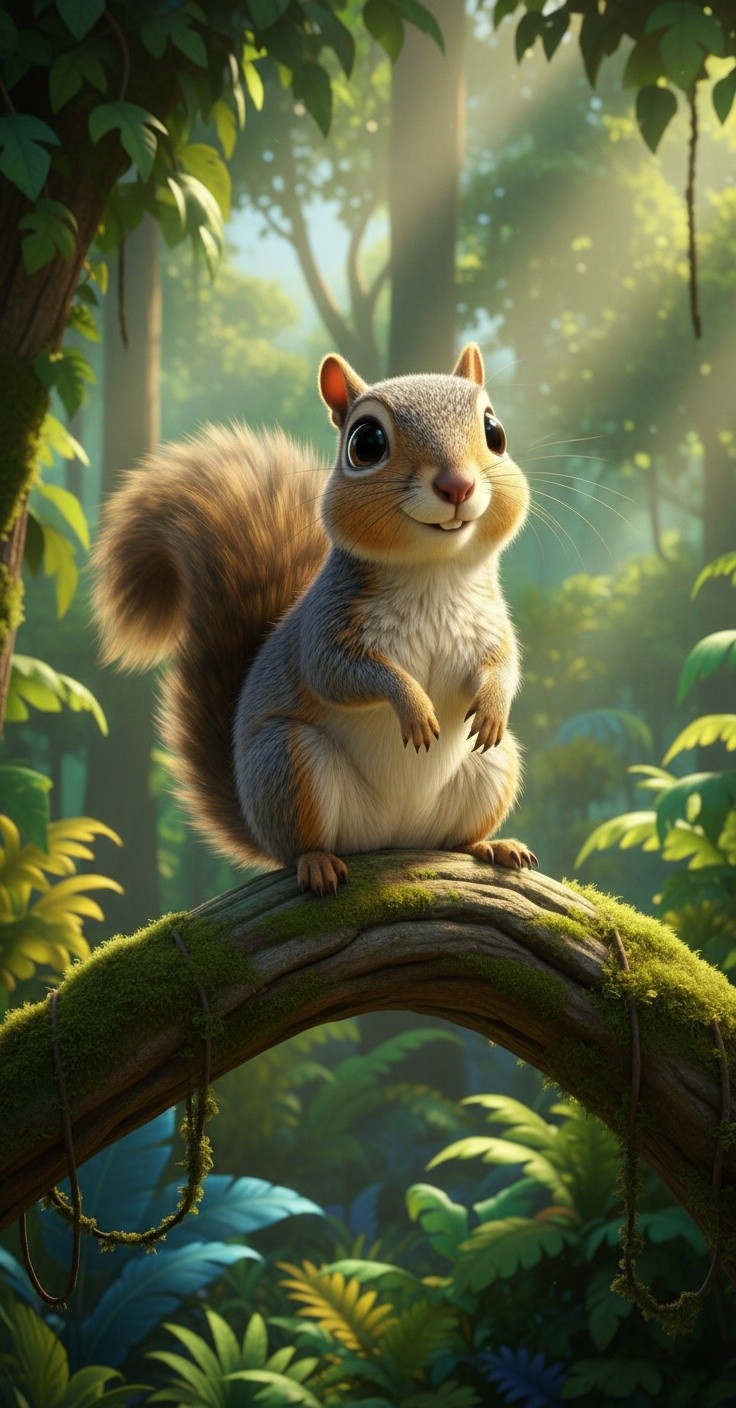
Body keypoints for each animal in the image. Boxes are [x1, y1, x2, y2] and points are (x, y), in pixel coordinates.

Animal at [92, 342, 536, 895]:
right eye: (365, 443)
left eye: (494, 431)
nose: (457, 484)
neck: (434, 573)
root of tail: (394, 835)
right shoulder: (326, 628)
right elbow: (340, 675)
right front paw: (413, 706)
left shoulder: (492, 627)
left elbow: (506, 667)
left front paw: (494, 705)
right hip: (289, 762)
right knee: (300, 843)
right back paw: (317, 863)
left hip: (493, 766)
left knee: (457, 834)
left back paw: (490, 845)